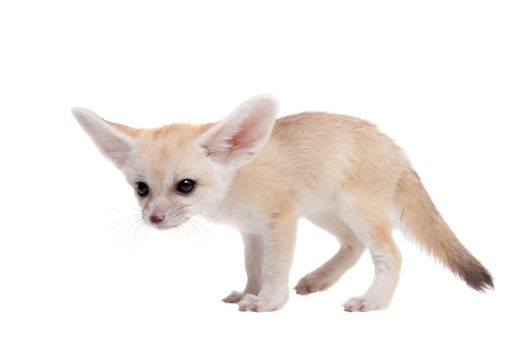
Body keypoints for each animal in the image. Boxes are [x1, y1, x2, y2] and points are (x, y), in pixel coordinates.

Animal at [72, 95, 492, 312]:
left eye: (185, 186)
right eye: (141, 188)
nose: (154, 219)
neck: (236, 181)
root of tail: (395, 148)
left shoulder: (280, 221)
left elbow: (274, 269)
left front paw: (270, 301)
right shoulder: (253, 231)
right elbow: (254, 269)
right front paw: (250, 293)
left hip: (356, 213)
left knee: (391, 255)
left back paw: (373, 301)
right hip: (327, 214)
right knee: (353, 246)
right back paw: (320, 279)